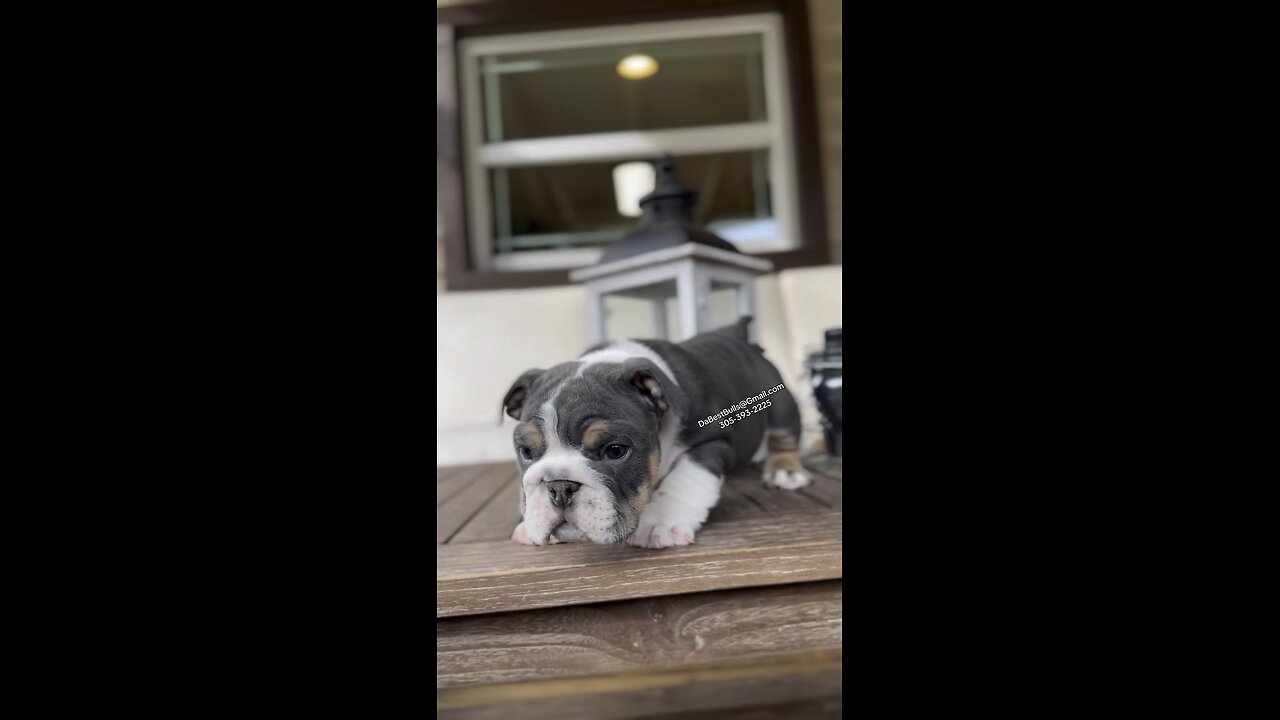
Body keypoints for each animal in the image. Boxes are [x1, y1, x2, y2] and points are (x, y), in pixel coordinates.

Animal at [494, 316, 803, 545]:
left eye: (615, 451)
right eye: (526, 451)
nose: (560, 486)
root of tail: (739, 337)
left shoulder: (711, 443)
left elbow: (683, 479)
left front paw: (661, 523)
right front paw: (527, 525)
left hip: (780, 403)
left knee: (784, 435)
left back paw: (785, 471)